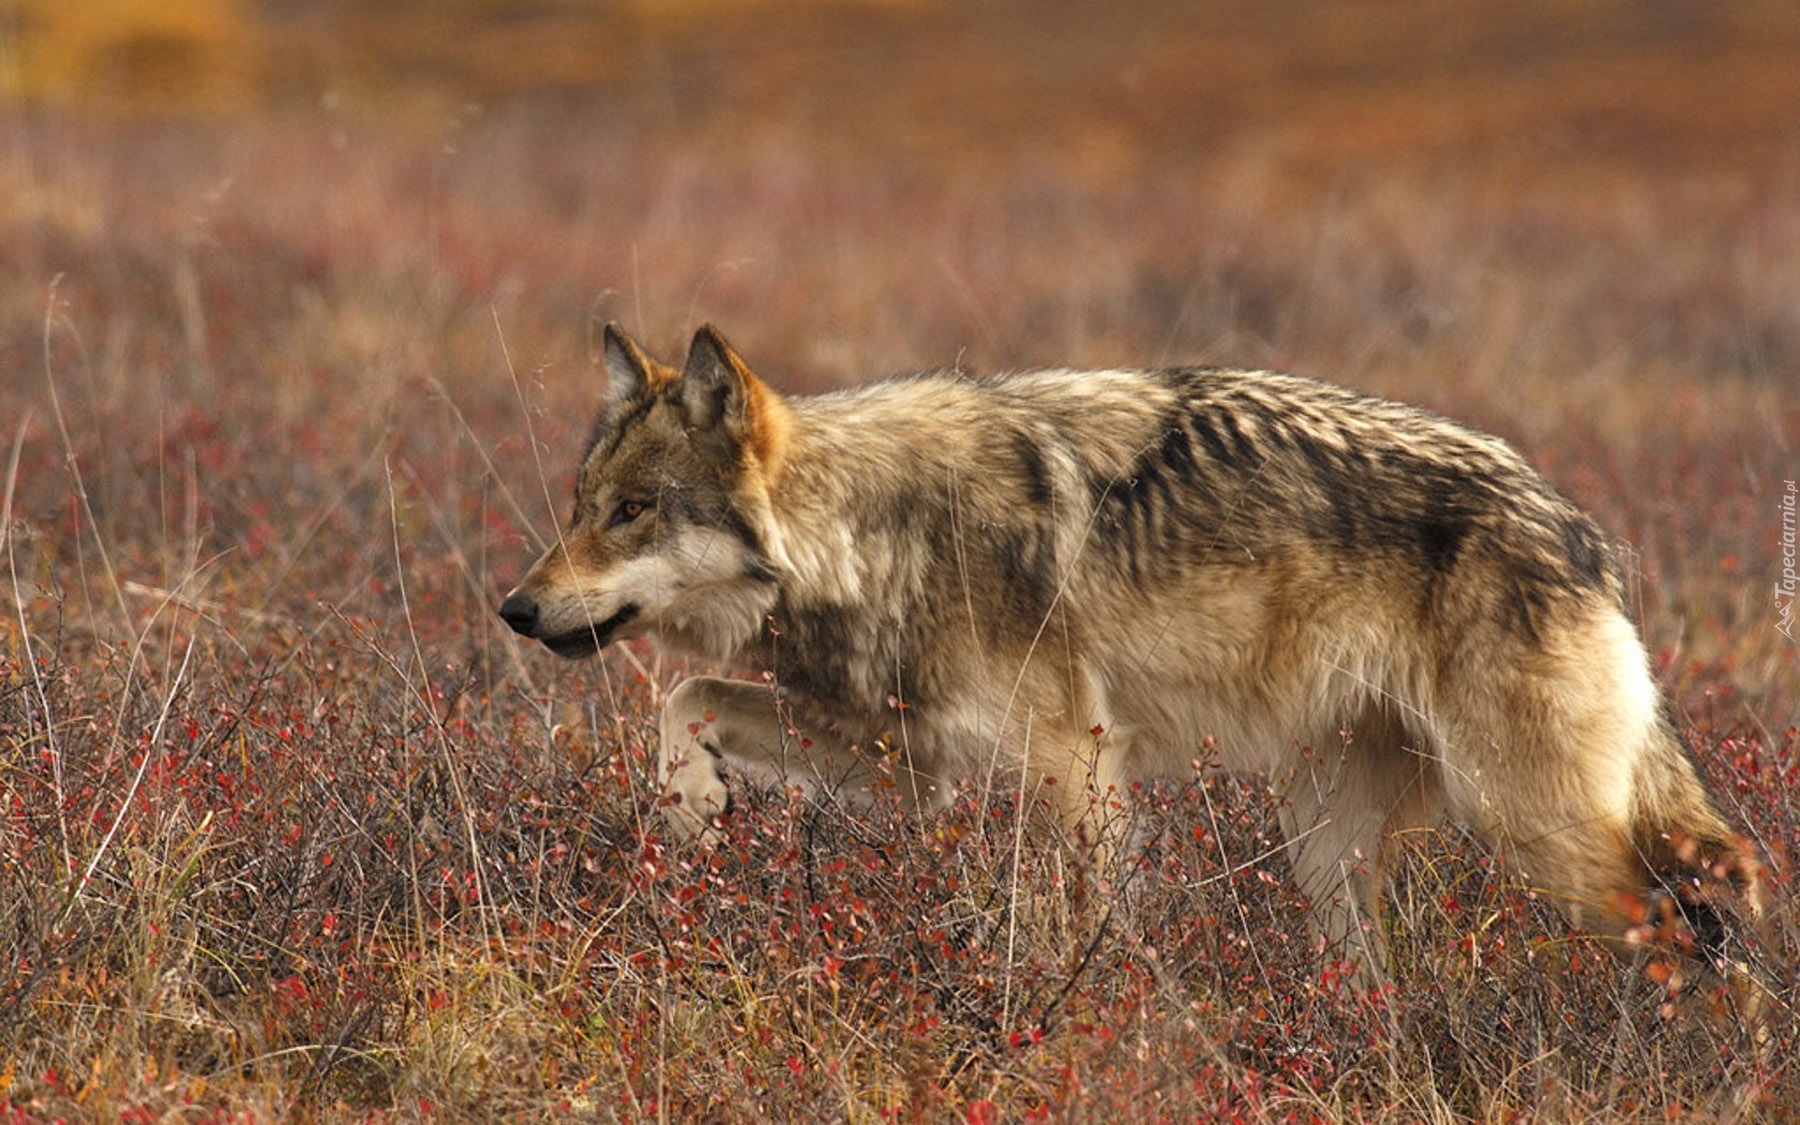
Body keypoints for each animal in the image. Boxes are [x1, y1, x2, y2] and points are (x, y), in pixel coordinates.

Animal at [500, 322, 1764, 972]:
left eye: (634, 512)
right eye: (582, 506)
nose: (514, 609)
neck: (870, 530)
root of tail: (1579, 527)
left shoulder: (1074, 761)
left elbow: (1080, 921)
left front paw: (1091, 1020)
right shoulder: (908, 761)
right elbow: (682, 702)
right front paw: (689, 807)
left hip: (1533, 830)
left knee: (1705, 925)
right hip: (1331, 847)